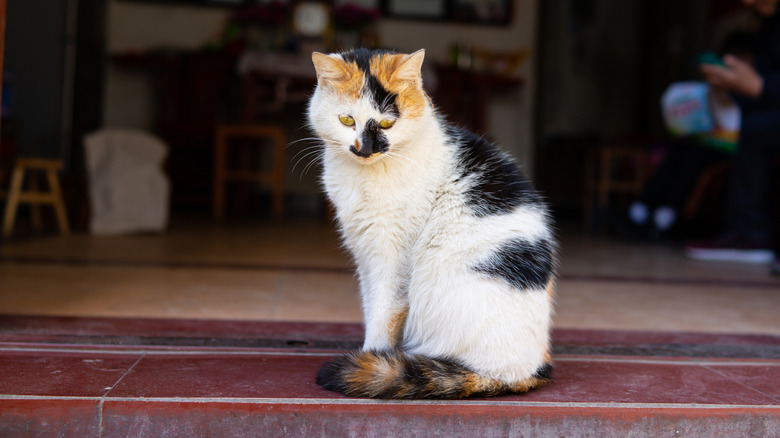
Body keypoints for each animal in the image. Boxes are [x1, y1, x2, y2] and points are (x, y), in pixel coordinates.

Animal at [308, 48, 556, 400]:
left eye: (387, 123)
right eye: (346, 120)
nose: (365, 149)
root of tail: (529, 371)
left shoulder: (392, 258)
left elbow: (384, 314)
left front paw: (370, 358)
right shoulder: (366, 256)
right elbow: (371, 307)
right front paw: (372, 354)